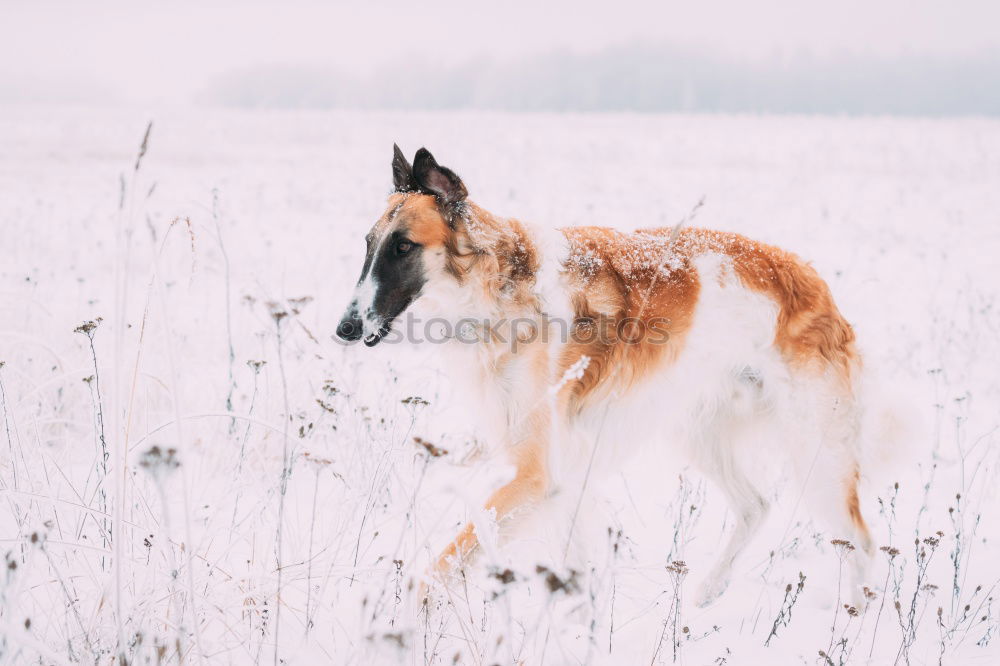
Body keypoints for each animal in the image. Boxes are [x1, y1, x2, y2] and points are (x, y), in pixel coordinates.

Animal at [336, 147, 876, 608]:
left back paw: (853, 613)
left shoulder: (538, 473)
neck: (500, 291)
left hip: (816, 451)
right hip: (698, 429)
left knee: (861, 539)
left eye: (404, 247)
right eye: (367, 245)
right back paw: (708, 590)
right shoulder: (558, 474)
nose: (344, 329)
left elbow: (449, 557)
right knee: (757, 504)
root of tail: (812, 279)